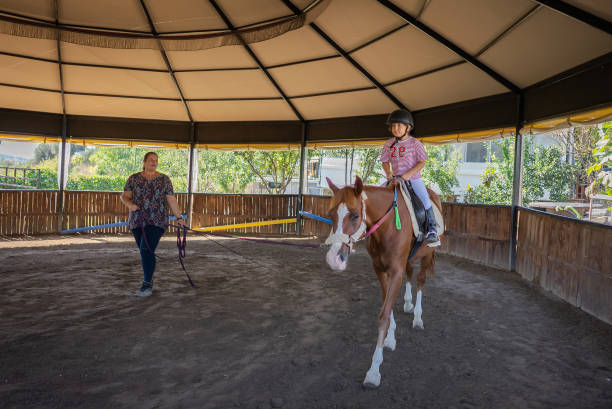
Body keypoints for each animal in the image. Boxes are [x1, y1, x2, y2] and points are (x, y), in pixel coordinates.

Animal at [326, 175, 440, 386]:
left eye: (355, 215)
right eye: (331, 214)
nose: (333, 259)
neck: (388, 227)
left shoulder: (395, 271)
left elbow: (384, 315)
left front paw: (374, 370)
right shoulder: (379, 269)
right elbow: (387, 304)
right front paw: (390, 339)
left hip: (428, 254)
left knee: (420, 280)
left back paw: (418, 317)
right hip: (409, 258)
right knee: (410, 274)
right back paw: (408, 304)